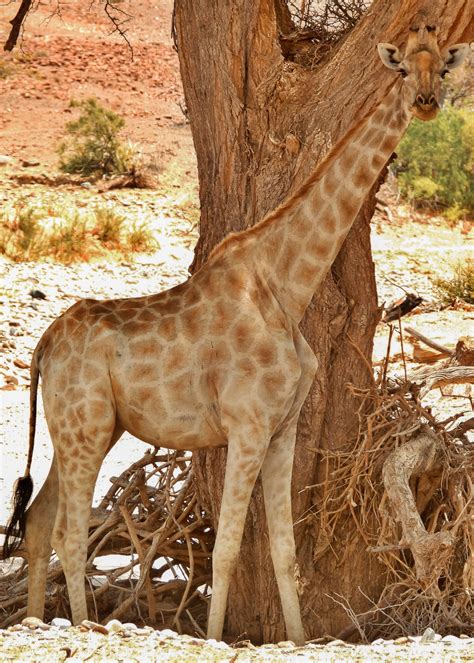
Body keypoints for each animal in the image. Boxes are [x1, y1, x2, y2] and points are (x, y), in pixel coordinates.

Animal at [3, 26, 468, 644]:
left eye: (442, 68)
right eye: (402, 69)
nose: (426, 102)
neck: (286, 287)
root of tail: (43, 346)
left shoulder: (281, 427)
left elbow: (284, 550)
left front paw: (298, 638)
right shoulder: (246, 424)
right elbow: (225, 547)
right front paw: (215, 635)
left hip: (81, 428)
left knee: (37, 521)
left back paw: (36, 619)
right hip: (88, 426)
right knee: (68, 532)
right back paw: (84, 627)